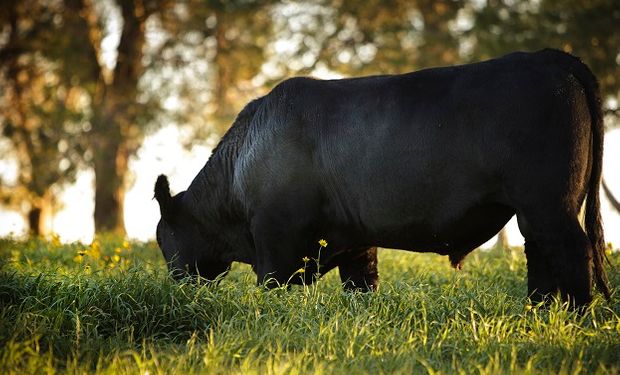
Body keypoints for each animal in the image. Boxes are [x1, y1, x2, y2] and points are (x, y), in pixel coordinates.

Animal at [154, 49, 612, 308]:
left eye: (163, 238)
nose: (176, 288)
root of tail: (548, 56)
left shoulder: (275, 239)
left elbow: (274, 288)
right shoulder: (356, 241)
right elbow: (362, 287)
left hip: (548, 203)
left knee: (573, 252)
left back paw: (574, 318)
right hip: (535, 212)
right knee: (541, 257)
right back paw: (538, 311)